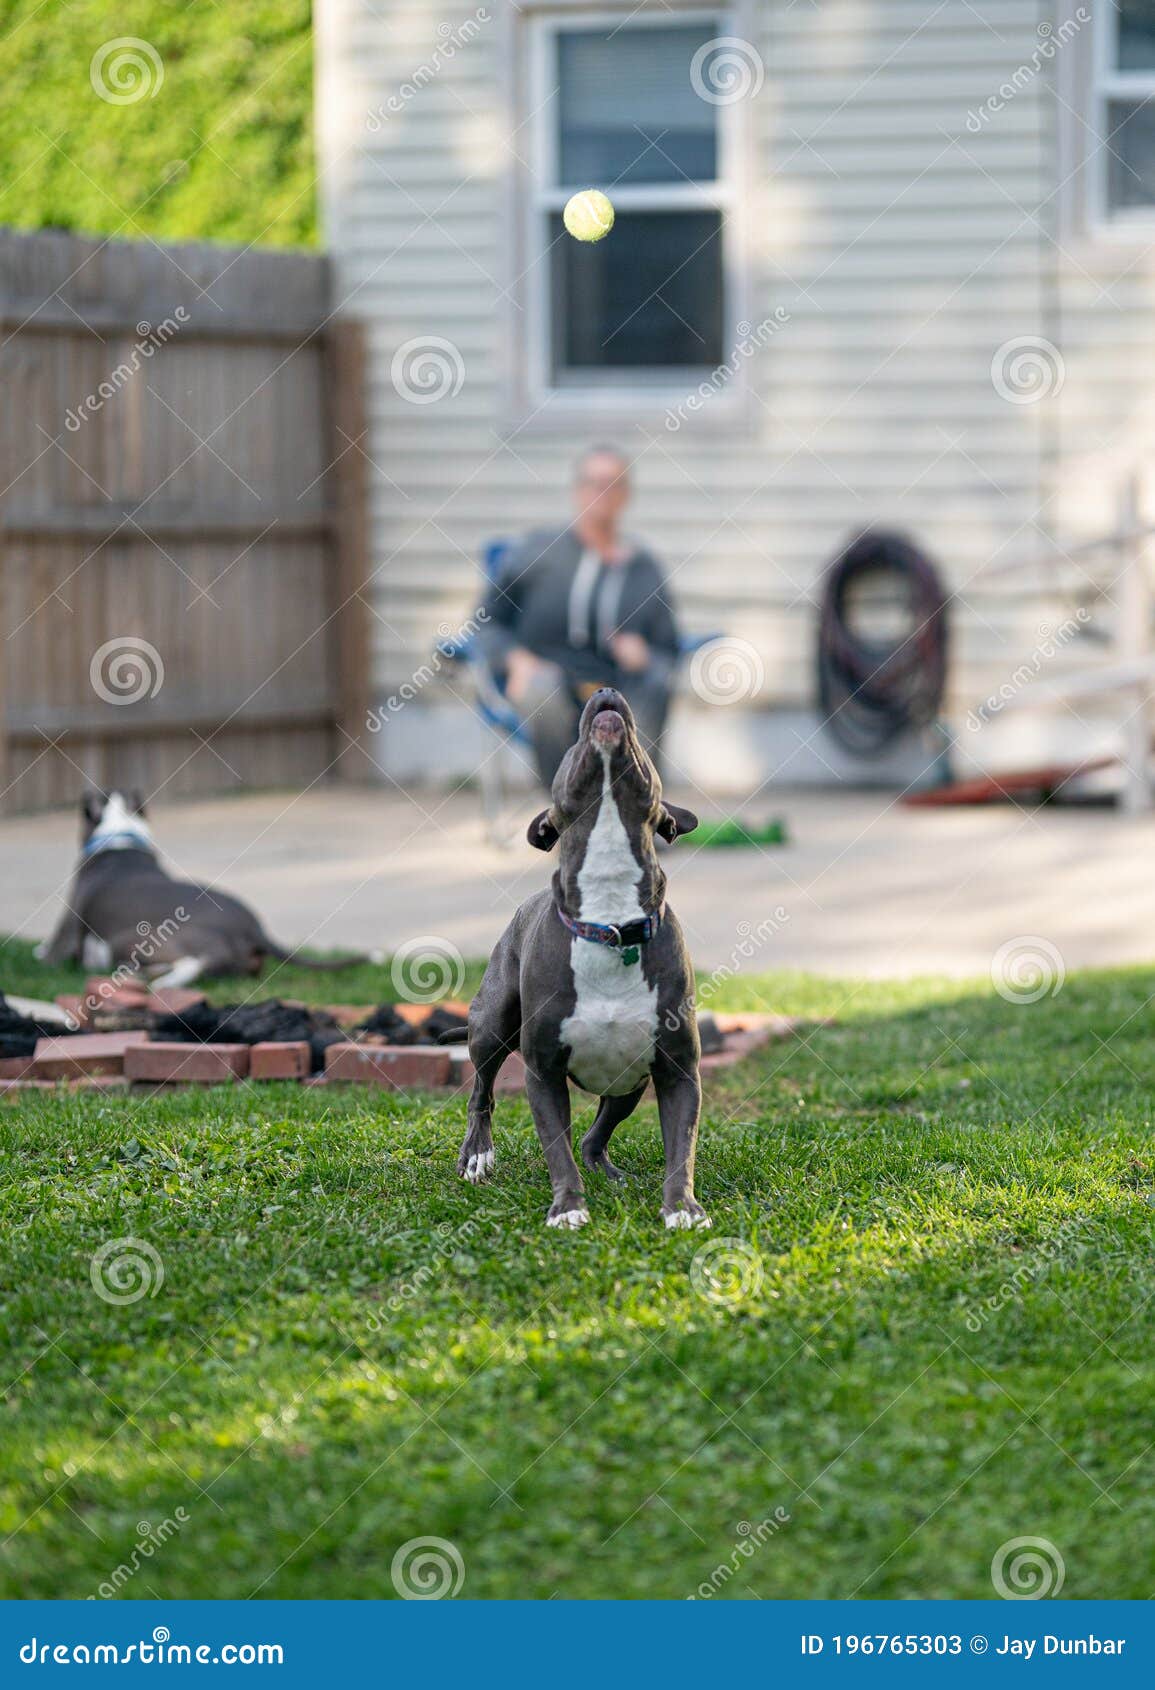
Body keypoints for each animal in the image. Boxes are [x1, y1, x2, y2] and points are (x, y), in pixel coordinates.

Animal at [36, 790, 372, 986]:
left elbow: (53, 950)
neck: (121, 836)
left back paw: (159, 979)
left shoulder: (69, 923)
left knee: (193, 962)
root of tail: (254, 928)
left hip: (135, 938)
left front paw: (40, 953)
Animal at [456, 686, 710, 1230]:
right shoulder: (542, 1074)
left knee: (595, 1136)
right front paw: (568, 1207)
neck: (610, 922)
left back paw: (608, 1173)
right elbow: (557, 1151)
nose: (606, 689)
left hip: (628, 1084)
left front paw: (682, 1208)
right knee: (481, 1093)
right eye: (573, 749)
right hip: (490, 1024)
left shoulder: (678, 1071)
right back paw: (477, 1155)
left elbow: (682, 1148)